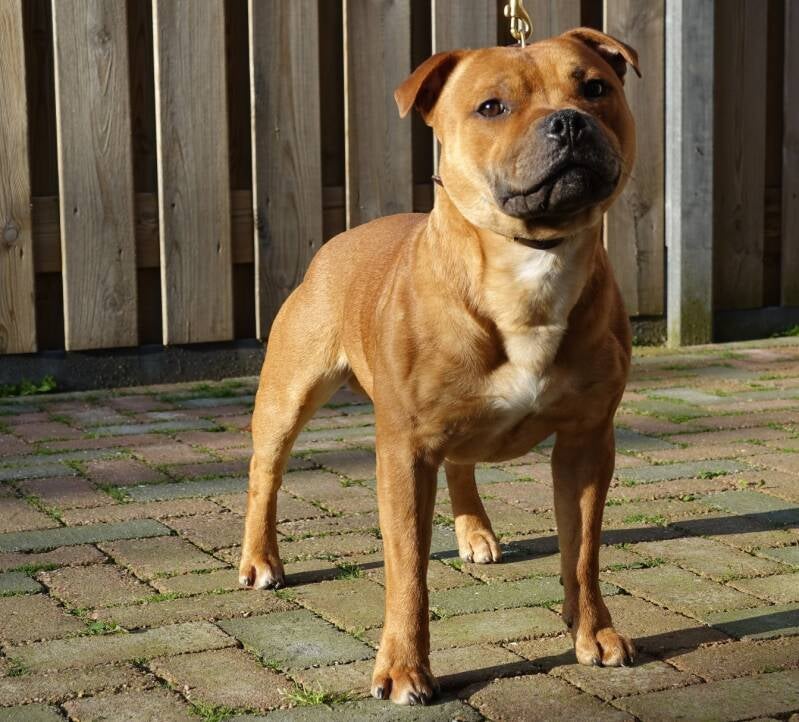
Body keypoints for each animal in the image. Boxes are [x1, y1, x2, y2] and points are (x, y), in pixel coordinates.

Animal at [239, 27, 640, 705]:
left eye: (595, 88)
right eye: (492, 107)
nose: (569, 122)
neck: (529, 262)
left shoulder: (588, 441)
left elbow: (582, 552)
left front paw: (594, 632)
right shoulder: (405, 451)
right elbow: (408, 571)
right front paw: (404, 667)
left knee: (464, 465)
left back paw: (475, 532)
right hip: (287, 396)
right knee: (265, 473)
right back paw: (260, 560)